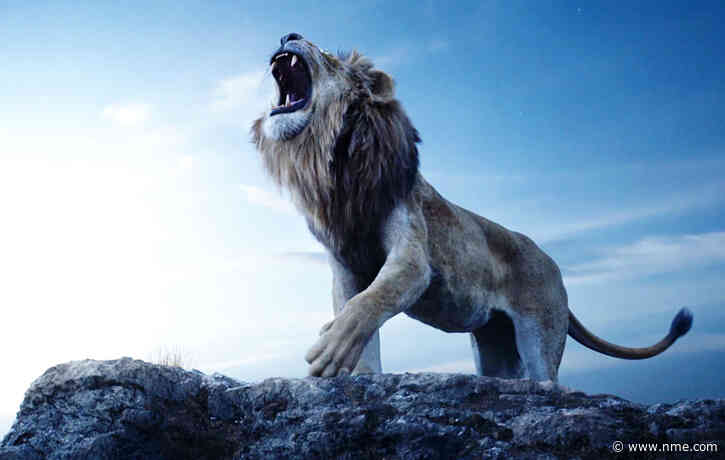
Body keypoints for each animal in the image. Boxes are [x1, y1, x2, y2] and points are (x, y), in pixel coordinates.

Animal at [251, 33, 693, 381]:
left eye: (325, 53)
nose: (289, 34)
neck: (333, 165)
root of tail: (553, 264)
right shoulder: (344, 266)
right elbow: (357, 320)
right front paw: (352, 372)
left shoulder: (413, 255)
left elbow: (370, 301)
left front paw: (329, 348)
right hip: (496, 346)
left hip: (540, 333)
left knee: (548, 380)